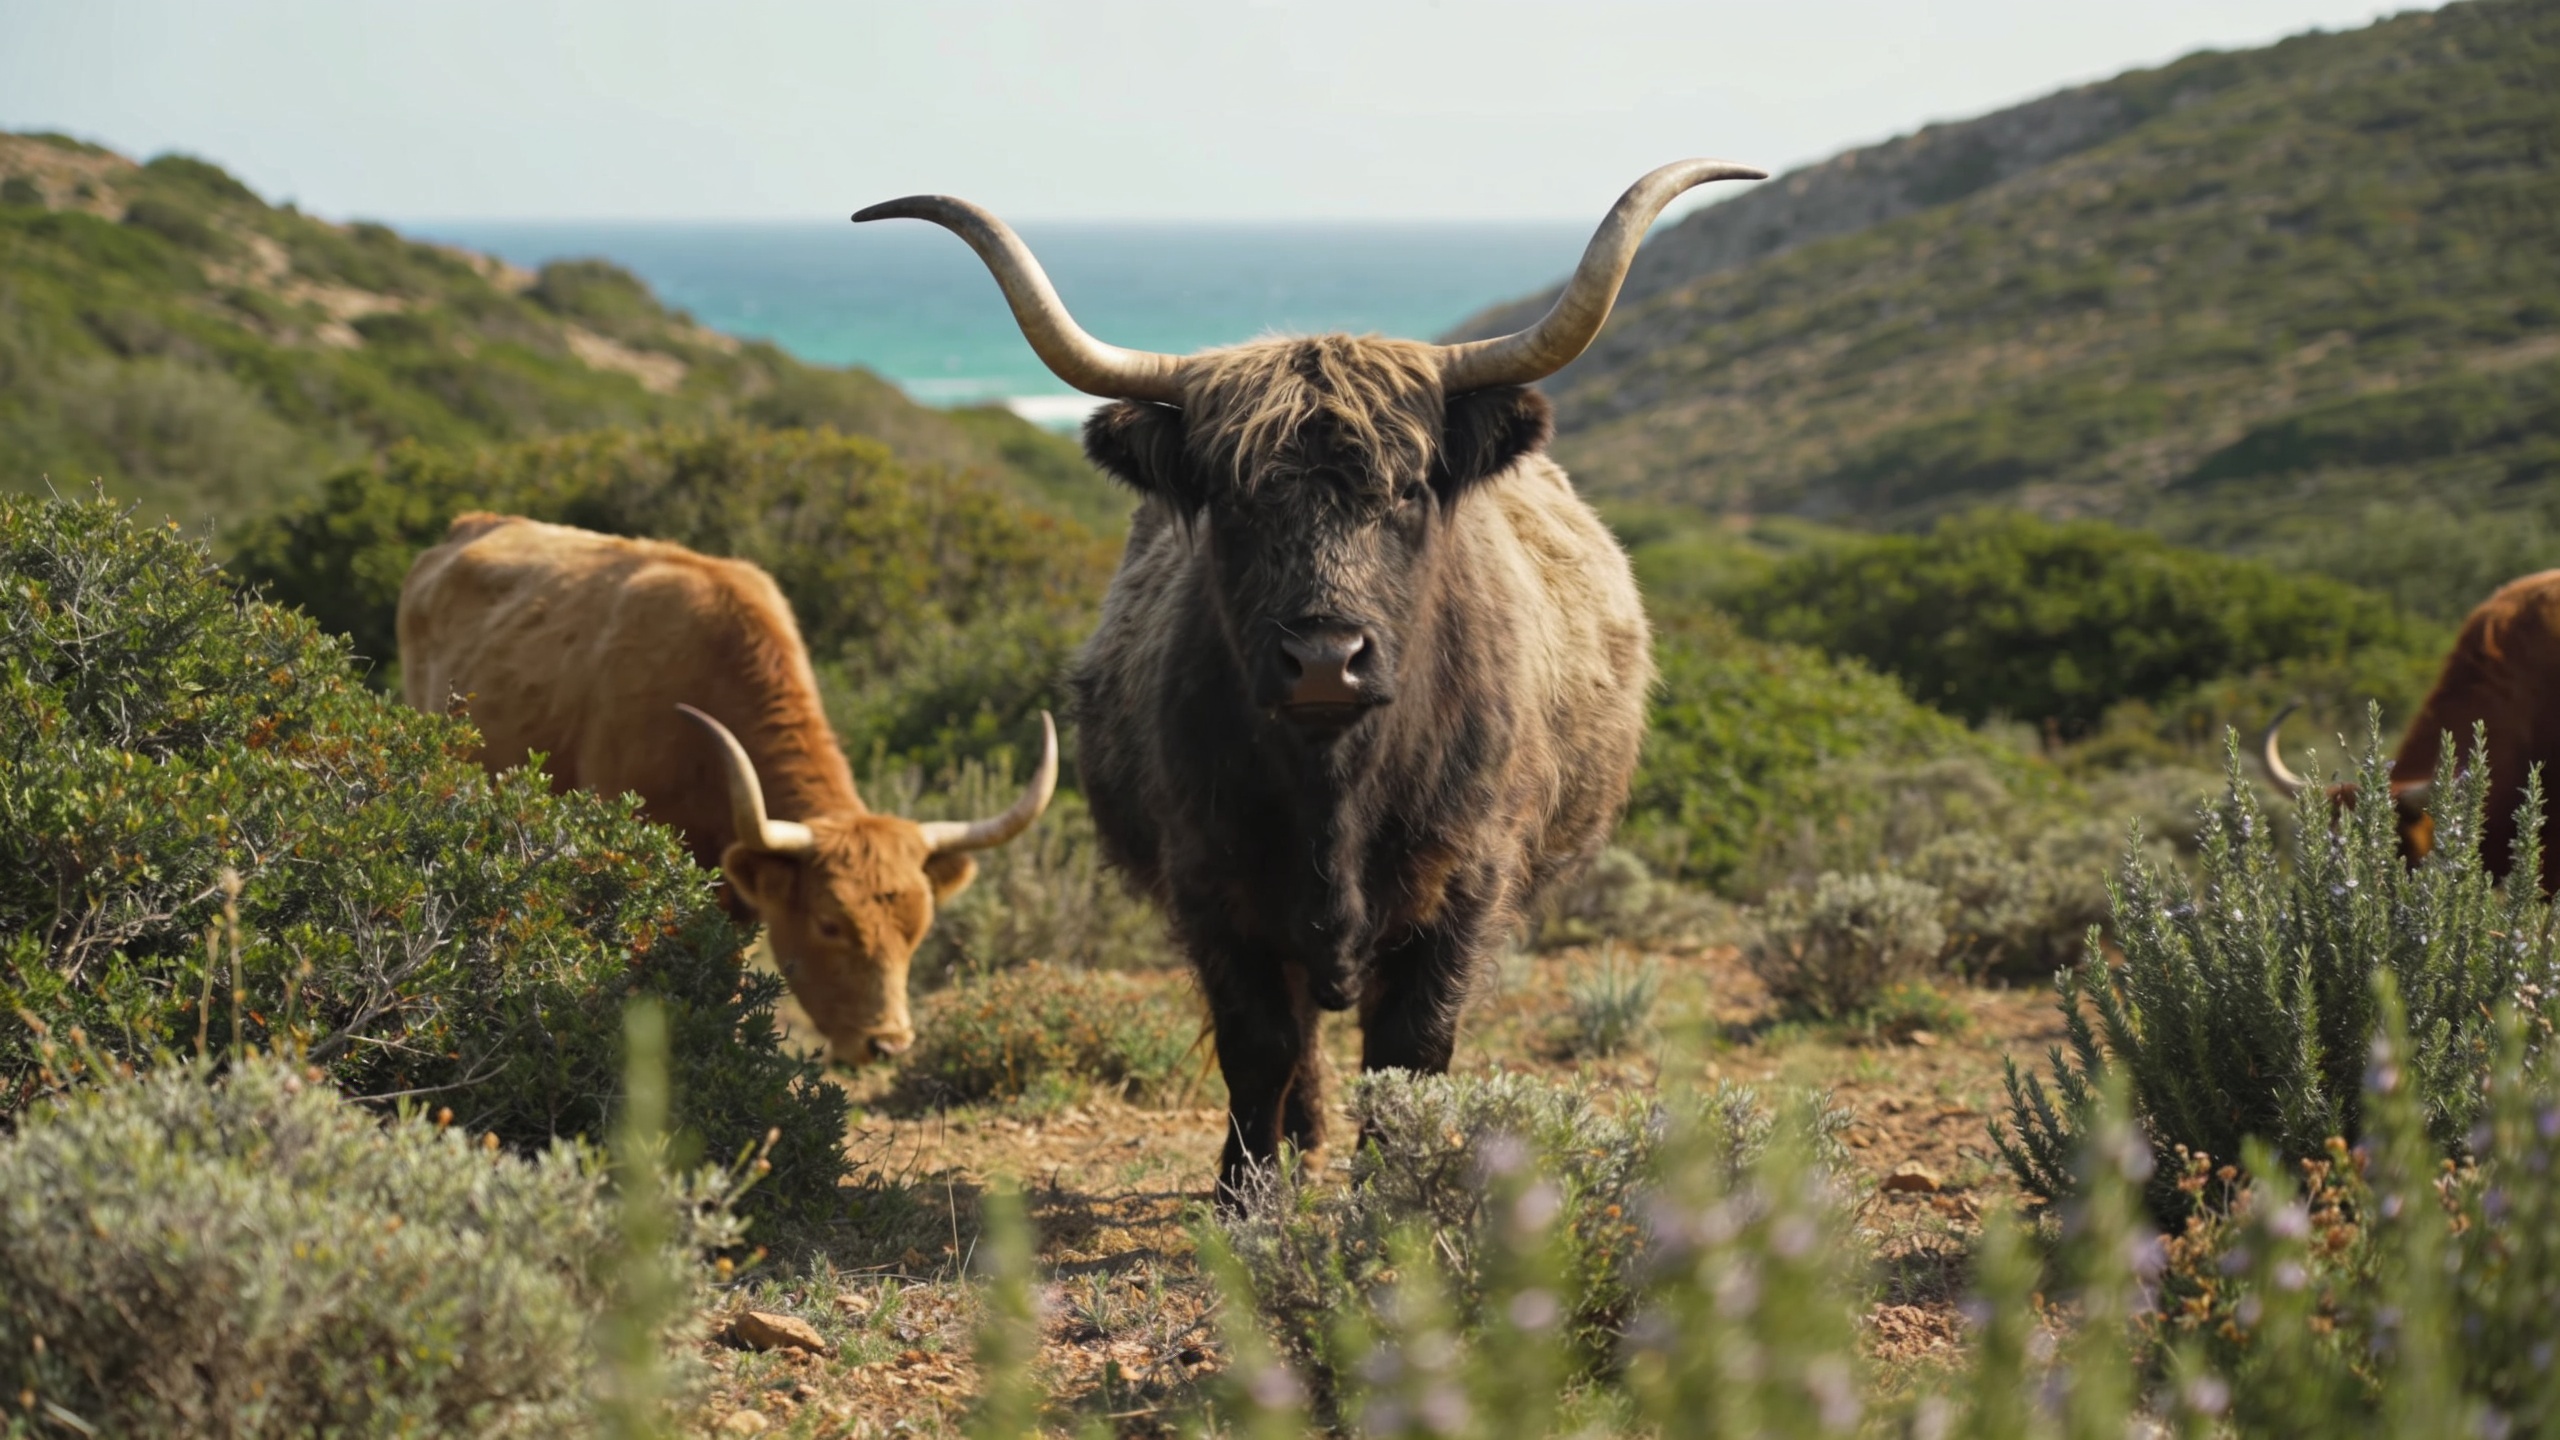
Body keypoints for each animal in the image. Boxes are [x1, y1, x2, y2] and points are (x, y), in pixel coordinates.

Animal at [857, 158, 1762, 1195]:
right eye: (1235, 498)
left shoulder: (1466, 883)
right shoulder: (1211, 884)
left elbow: (1412, 1048)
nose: (1326, 659)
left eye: (1406, 491)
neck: (1335, 783)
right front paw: (1245, 1192)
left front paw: (1391, 1188)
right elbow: (1260, 1045)